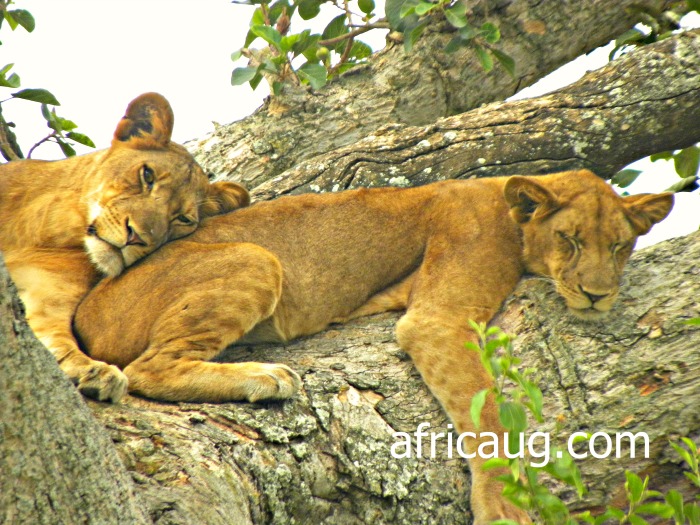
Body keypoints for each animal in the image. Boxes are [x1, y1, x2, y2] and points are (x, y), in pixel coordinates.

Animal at [0, 92, 250, 402]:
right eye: (147, 175)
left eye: (183, 219)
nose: (136, 237)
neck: (47, 228)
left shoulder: (48, 296)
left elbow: (54, 340)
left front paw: (93, 371)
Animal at [75, 170, 672, 520]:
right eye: (569, 239)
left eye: (620, 246)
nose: (597, 295)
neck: (509, 212)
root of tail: (87, 306)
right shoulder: (435, 319)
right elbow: (487, 423)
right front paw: (504, 506)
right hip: (256, 258)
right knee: (149, 369)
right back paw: (266, 378)